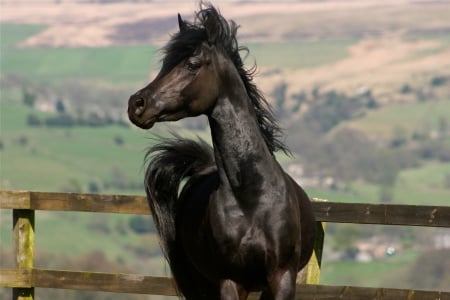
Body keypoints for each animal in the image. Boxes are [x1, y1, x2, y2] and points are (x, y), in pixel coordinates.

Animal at [127, 4, 316, 300]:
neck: (252, 199)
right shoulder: (230, 281)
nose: (137, 104)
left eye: (192, 64)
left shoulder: (282, 277)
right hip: (199, 283)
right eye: (165, 64)